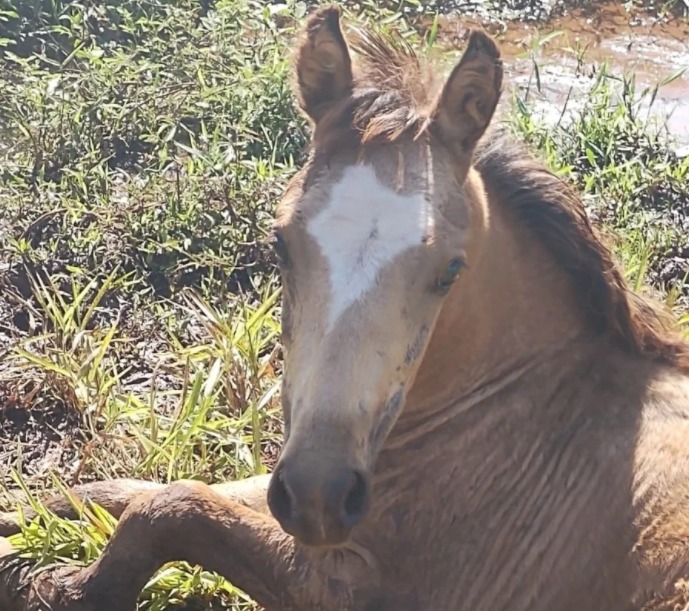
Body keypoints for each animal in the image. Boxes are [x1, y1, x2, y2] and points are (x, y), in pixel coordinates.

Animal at [1, 5, 688, 611]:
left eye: (451, 270)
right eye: (279, 242)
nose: (319, 496)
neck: (518, 409)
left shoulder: (351, 583)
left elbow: (171, 507)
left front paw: (54, 583)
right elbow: (125, 488)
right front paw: (25, 519)